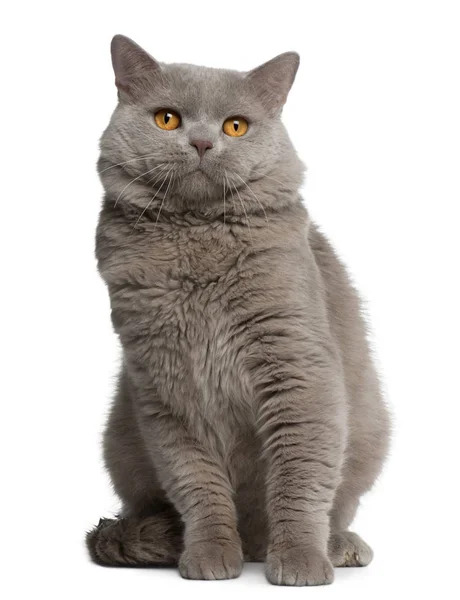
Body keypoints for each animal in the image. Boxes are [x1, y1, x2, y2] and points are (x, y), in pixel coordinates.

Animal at [85, 34, 388, 584]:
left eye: (235, 126)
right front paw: (208, 556)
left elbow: (299, 475)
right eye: (167, 119)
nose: (203, 143)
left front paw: (300, 561)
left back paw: (335, 545)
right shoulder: (164, 383)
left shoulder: (297, 368)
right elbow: (196, 482)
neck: (197, 238)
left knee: (333, 504)